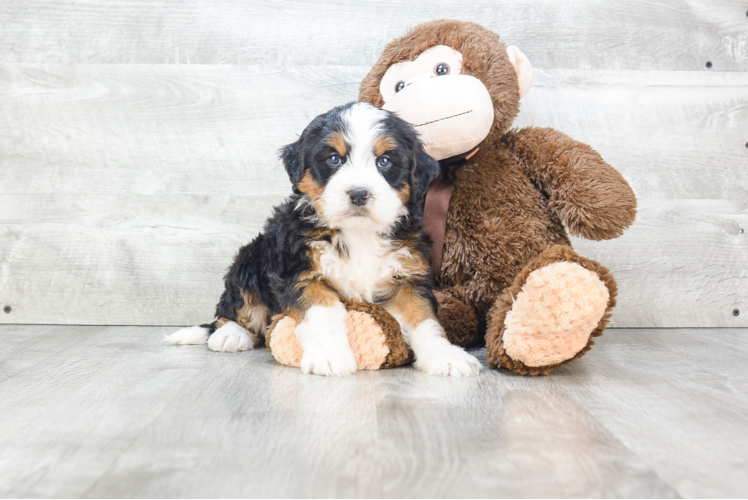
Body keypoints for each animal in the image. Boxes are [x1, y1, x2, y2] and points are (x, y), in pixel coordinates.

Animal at [164, 100, 482, 376]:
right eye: (334, 159)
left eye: (385, 161)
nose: (358, 194)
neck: (356, 232)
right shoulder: (299, 272)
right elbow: (323, 314)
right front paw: (330, 357)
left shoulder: (407, 275)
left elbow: (424, 319)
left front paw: (446, 356)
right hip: (249, 260)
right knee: (233, 306)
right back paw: (230, 334)